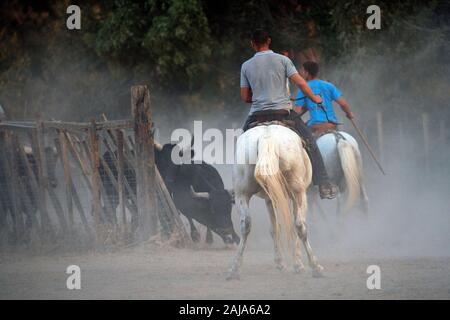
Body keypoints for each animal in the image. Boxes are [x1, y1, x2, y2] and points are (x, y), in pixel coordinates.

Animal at [98, 144, 239, 244]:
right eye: (214, 209)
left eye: (230, 208)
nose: (226, 230)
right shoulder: (184, 205)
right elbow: (200, 220)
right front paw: (198, 236)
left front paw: (233, 236)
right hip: (112, 194)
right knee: (109, 211)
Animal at [229, 124, 324, 278]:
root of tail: (266, 138)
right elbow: (291, 226)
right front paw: (297, 264)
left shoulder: (270, 198)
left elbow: (274, 228)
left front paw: (280, 262)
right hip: (298, 193)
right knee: (300, 225)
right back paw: (315, 266)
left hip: (241, 194)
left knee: (246, 225)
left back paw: (234, 268)